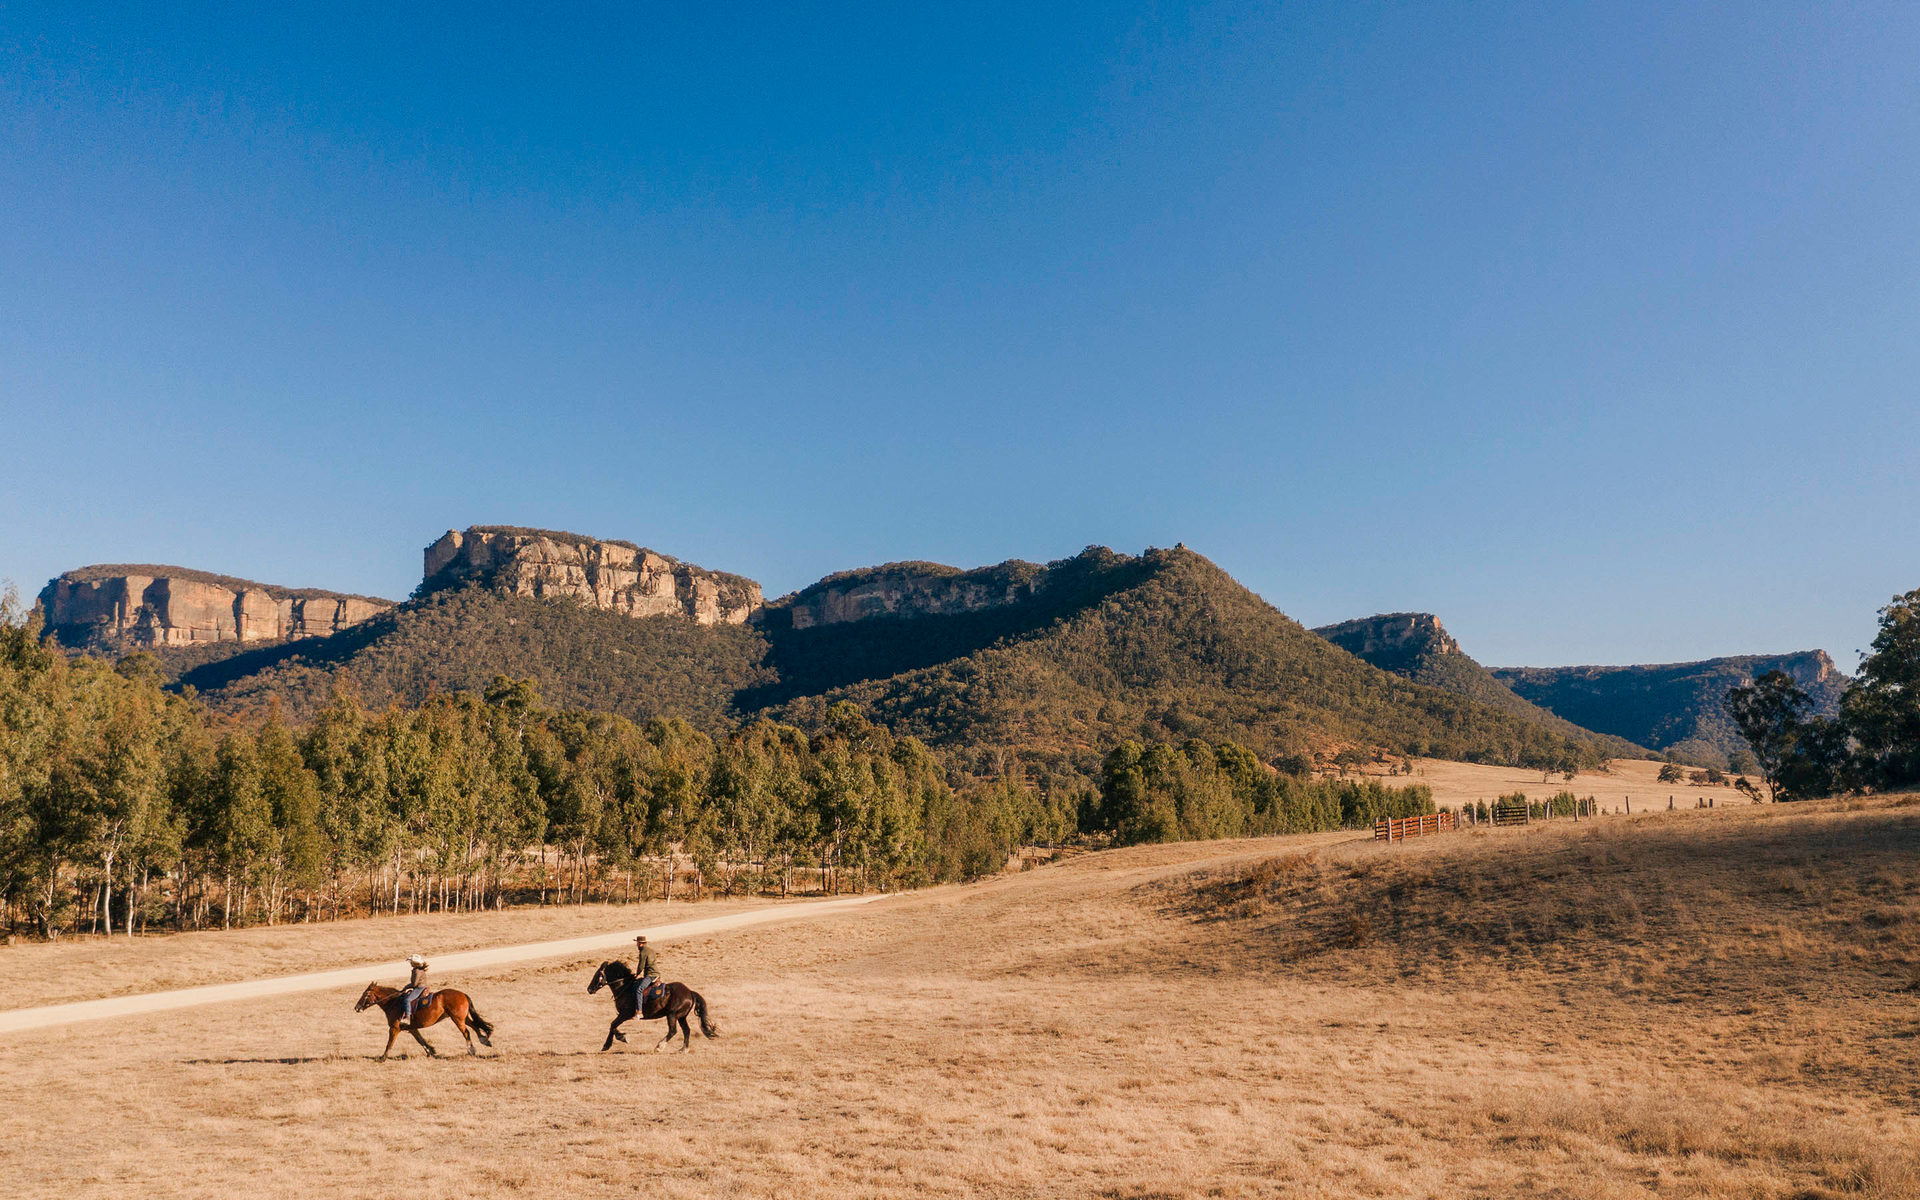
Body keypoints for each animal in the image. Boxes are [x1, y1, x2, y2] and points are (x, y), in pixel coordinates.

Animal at [355, 983, 495, 1059]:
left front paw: (382, 1058)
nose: (356, 1007)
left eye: (366, 994)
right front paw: (431, 1051)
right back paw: (484, 1040)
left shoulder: (394, 1029)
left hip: (457, 1019)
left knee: (466, 1032)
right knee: (475, 1026)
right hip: (463, 1018)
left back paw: (471, 1050)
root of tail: (462, 994)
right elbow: (421, 1040)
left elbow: (389, 1043)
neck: (393, 1003)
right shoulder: (412, 1029)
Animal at [583, 956, 721, 1044]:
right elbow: (613, 1026)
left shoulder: (625, 1014)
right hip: (681, 1017)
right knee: (686, 1030)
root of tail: (689, 992)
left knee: (673, 1031)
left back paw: (659, 1046)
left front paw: (614, 1042)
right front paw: (617, 1039)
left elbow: (613, 1025)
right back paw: (683, 1049)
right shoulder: (623, 1015)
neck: (625, 987)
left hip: (672, 1015)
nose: (589, 989)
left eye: (598, 975)